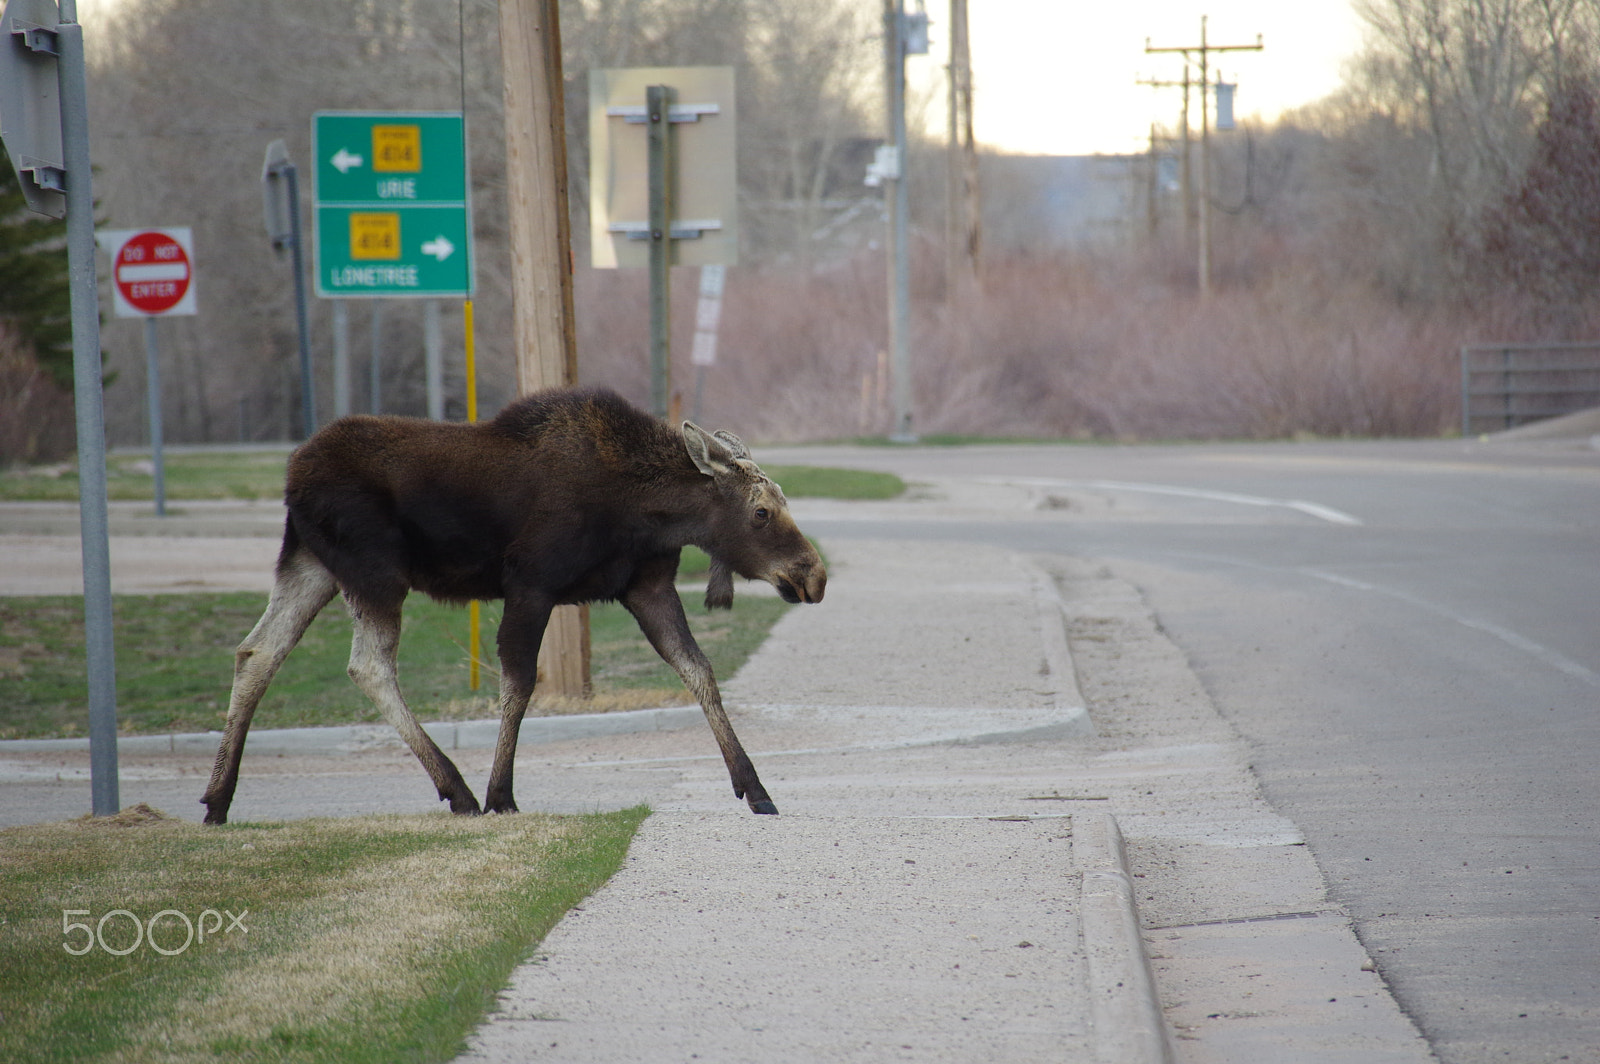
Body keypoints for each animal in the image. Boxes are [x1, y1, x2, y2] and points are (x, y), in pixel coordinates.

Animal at [200, 387, 825, 824]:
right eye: (762, 511)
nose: (813, 575)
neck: (650, 510)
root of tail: (291, 476)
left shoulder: (646, 588)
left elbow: (698, 670)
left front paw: (755, 787)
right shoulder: (531, 584)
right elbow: (519, 682)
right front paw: (501, 794)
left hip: (311, 563)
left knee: (257, 651)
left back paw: (217, 799)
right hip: (373, 571)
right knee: (368, 665)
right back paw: (458, 789)